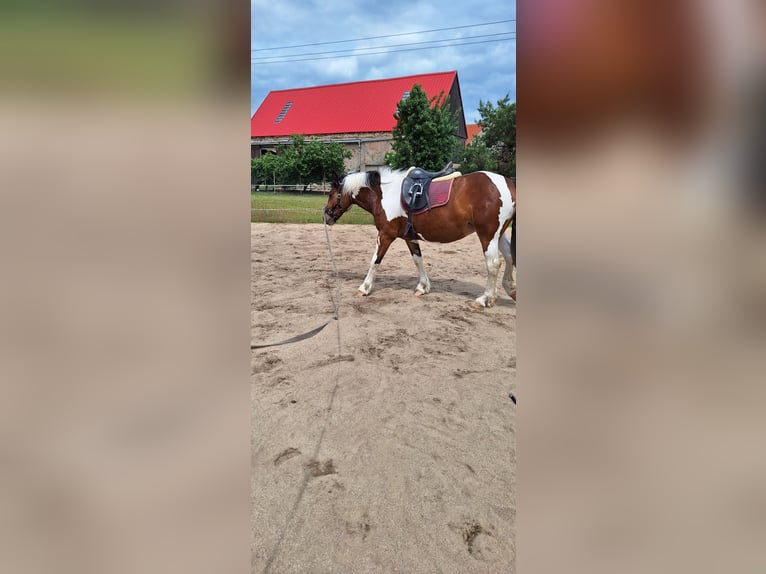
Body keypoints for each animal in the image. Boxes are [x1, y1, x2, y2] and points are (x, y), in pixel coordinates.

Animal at [320, 166, 520, 308]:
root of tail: (508, 184)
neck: (385, 194)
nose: (326, 217)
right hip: (499, 234)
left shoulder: (385, 234)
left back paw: (484, 299)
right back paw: (510, 289)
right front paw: (423, 287)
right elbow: (418, 260)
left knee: (493, 264)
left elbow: (374, 261)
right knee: (510, 257)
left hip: (488, 235)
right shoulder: (410, 237)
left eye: (330, 194)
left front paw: (364, 288)